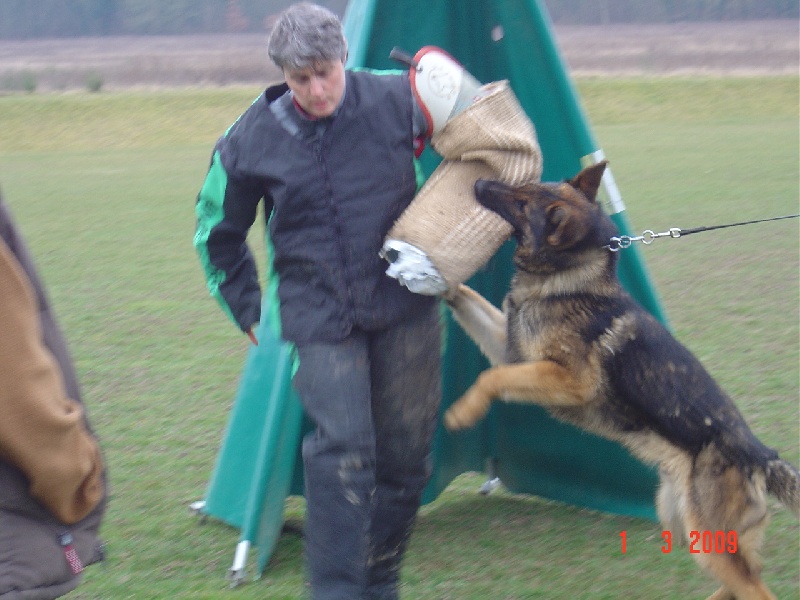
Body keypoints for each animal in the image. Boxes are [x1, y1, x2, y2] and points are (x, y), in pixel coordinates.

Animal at [444, 162, 800, 596]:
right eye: (527, 187)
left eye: (522, 201)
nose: (479, 181)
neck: (567, 277)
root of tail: (762, 455)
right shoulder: (510, 348)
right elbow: (469, 305)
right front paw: (426, 272)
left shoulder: (569, 379)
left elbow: (492, 377)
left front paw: (462, 413)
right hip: (682, 522)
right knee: (745, 580)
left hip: (707, 537)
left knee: (756, 588)